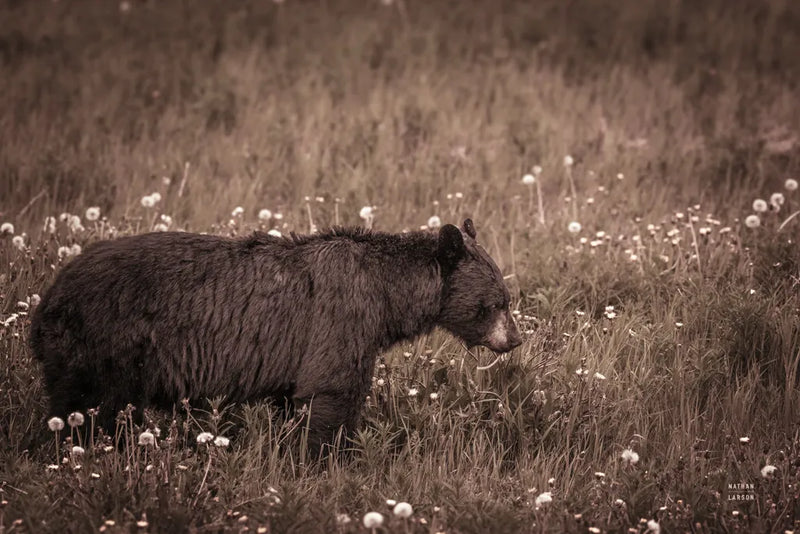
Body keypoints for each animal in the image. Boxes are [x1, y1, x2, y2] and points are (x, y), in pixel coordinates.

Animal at [29, 218, 522, 455]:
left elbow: (296, 402)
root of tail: (48, 297)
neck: (387, 294)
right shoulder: (342, 319)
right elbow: (331, 394)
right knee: (84, 410)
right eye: (498, 301)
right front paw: (330, 461)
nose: (515, 340)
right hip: (102, 345)